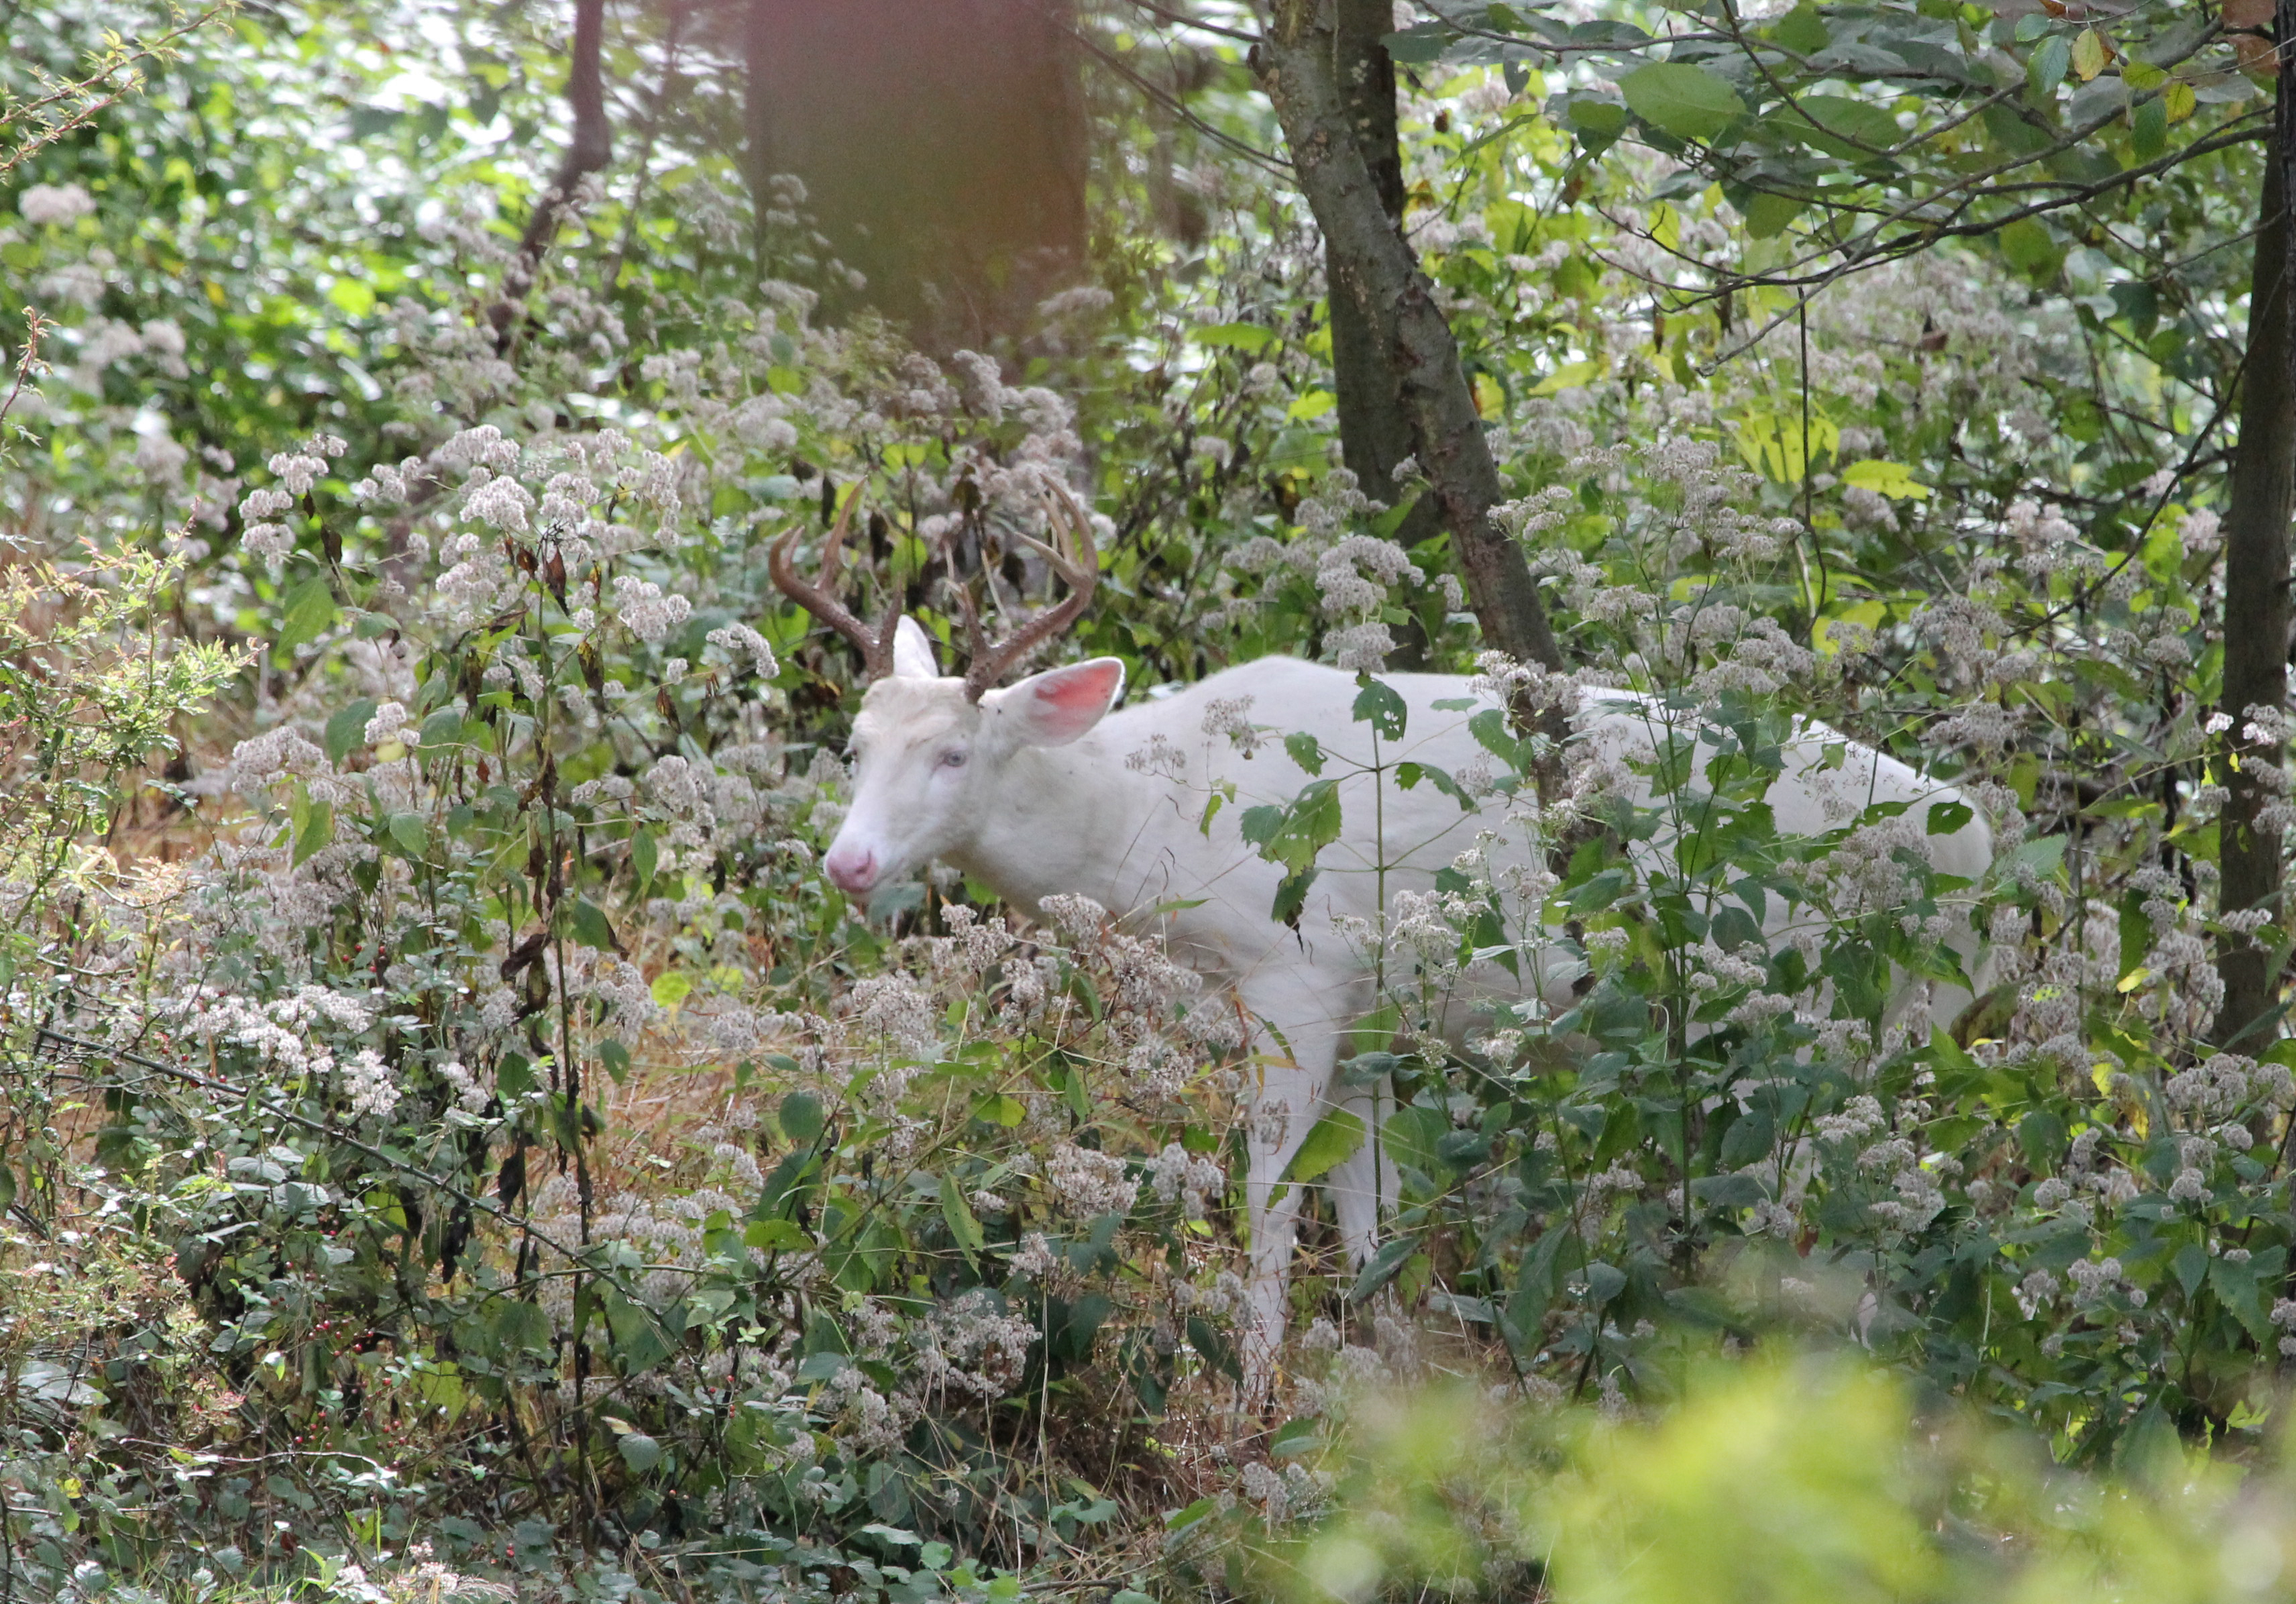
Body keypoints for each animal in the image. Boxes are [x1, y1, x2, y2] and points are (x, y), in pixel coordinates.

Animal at [770, 486, 1994, 1383]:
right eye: (856, 741)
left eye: (953, 754)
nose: (850, 863)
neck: (1145, 820)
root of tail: (1983, 853)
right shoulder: (1366, 1016)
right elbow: (1367, 1211)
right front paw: (1382, 1362)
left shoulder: (1295, 973)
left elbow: (1268, 1199)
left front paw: (1250, 1387)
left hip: (1835, 1016)